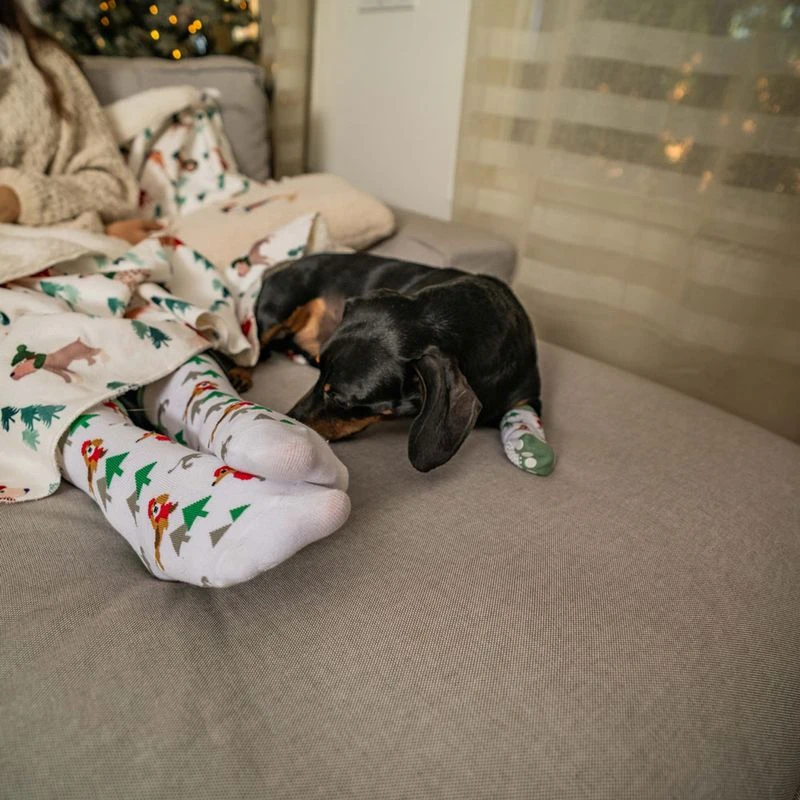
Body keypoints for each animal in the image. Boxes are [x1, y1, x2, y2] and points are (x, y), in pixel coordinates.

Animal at [241, 252, 543, 473]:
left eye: (341, 400)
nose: (288, 420)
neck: (471, 317)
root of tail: (285, 265)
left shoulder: (528, 399)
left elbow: (524, 415)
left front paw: (528, 444)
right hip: (276, 310)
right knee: (249, 348)